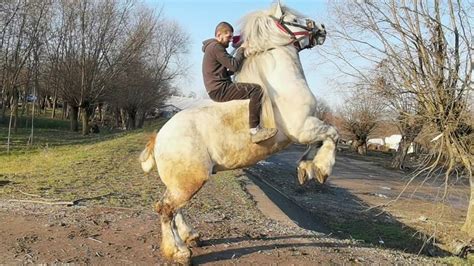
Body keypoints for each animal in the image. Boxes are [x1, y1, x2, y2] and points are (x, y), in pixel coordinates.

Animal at [139, 2, 338, 264]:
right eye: (294, 19)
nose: (322, 29)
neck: (282, 84)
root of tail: (159, 137)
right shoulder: (303, 128)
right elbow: (332, 134)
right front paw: (322, 169)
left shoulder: (308, 129)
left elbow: (318, 143)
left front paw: (306, 169)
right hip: (190, 181)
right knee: (166, 208)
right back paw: (178, 252)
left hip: (181, 182)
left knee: (174, 209)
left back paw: (190, 237)